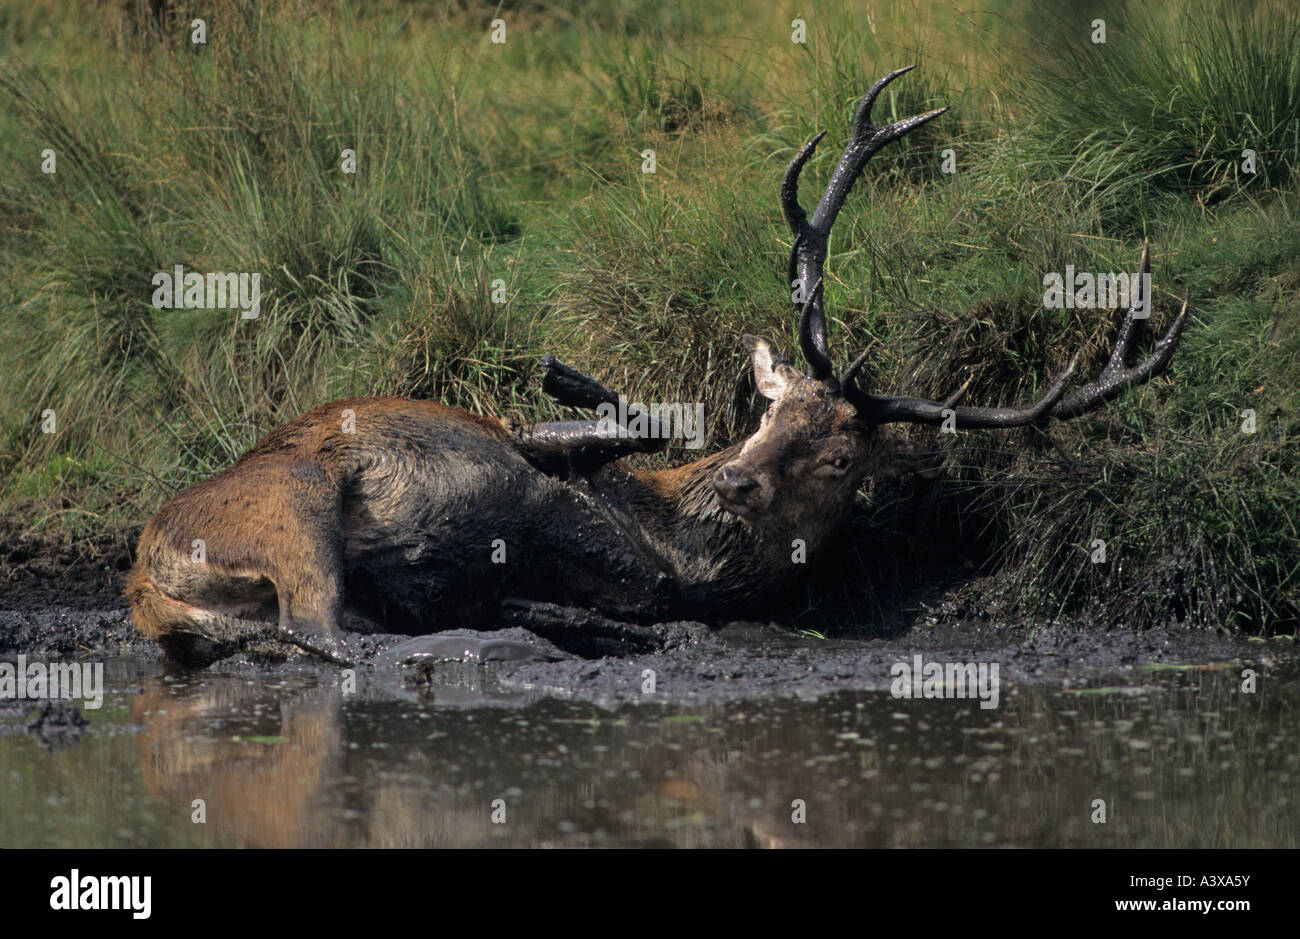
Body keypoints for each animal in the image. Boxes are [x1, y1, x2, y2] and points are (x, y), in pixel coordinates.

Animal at [126, 67, 1187, 667]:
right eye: (770, 411)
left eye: (844, 457)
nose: (743, 481)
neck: (672, 542)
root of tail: (143, 581)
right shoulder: (520, 441)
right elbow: (609, 423)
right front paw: (573, 380)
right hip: (291, 488)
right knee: (317, 621)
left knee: (317, 628)